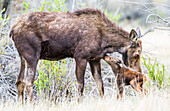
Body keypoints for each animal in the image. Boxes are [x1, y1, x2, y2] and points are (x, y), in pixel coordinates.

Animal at [9, 8, 141, 103]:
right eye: (137, 53)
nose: (139, 72)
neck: (106, 42)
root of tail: (12, 30)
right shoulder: (80, 57)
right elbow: (81, 85)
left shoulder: (95, 59)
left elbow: (100, 84)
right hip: (32, 56)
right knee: (28, 82)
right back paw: (32, 104)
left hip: (22, 57)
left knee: (19, 81)